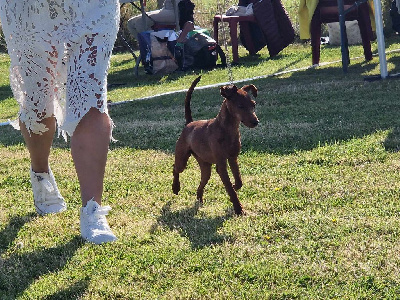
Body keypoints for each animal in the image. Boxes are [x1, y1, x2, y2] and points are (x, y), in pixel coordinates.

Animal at [173, 76, 260, 214]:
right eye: (240, 106)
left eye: (253, 105)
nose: (256, 122)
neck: (227, 130)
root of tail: (189, 124)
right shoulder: (221, 165)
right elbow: (229, 188)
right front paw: (238, 209)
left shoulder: (233, 158)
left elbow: (238, 181)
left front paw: (236, 186)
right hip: (182, 160)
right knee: (175, 169)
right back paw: (175, 187)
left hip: (205, 168)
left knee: (201, 183)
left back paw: (199, 199)